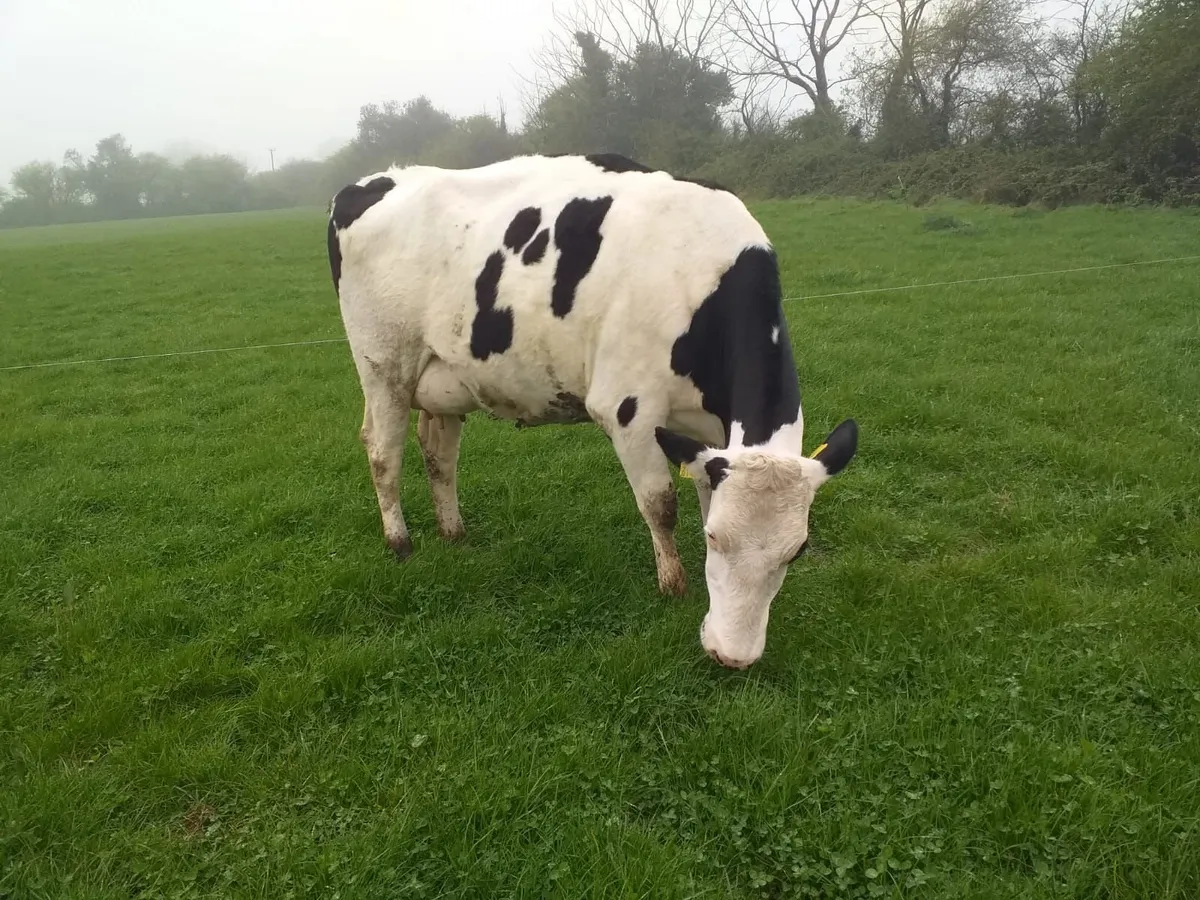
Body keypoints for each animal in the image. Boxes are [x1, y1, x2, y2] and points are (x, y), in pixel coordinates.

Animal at [326, 152, 858, 668]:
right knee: (383, 452)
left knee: (439, 454)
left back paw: (453, 532)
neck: (699, 276)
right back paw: (400, 542)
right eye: (713, 540)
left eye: (797, 551)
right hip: (384, 367)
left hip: (444, 381)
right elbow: (660, 504)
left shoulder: (711, 431)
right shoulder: (628, 410)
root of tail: (375, 180)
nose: (733, 656)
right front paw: (673, 587)